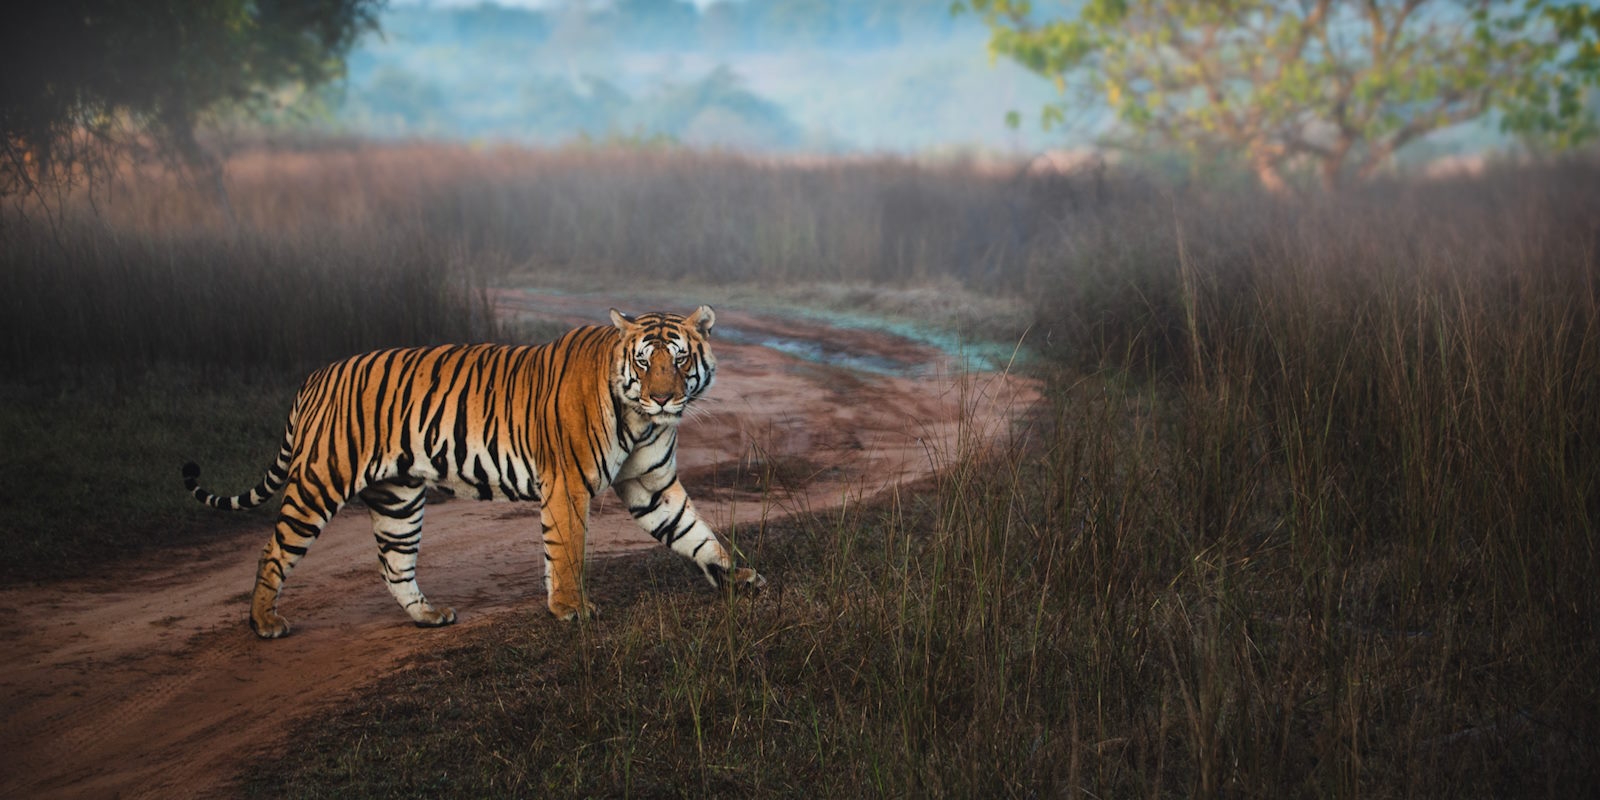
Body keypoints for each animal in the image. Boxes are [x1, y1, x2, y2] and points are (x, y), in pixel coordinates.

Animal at [182, 306, 764, 639]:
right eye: (644, 362)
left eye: (681, 360)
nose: (663, 398)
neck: (641, 422)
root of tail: (316, 376)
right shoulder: (568, 483)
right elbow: (568, 550)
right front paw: (571, 610)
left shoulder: (650, 485)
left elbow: (695, 533)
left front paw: (738, 577)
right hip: (320, 481)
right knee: (273, 550)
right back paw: (263, 622)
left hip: (398, 498)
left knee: (394, 564)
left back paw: (428, 616)